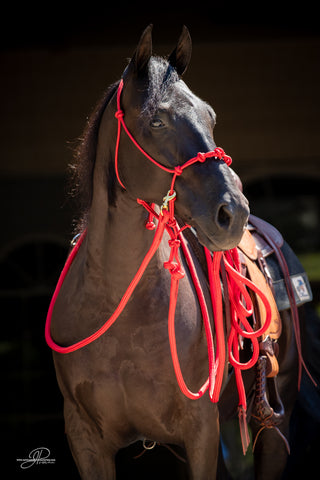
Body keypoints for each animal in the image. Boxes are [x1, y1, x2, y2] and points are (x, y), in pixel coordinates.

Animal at [45, 26, 318, 480]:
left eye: (210, 116)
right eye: (156, 119)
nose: (233, 211)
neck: (118, 304)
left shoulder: (200, 431)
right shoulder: (85, 439)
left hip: (274, 431)